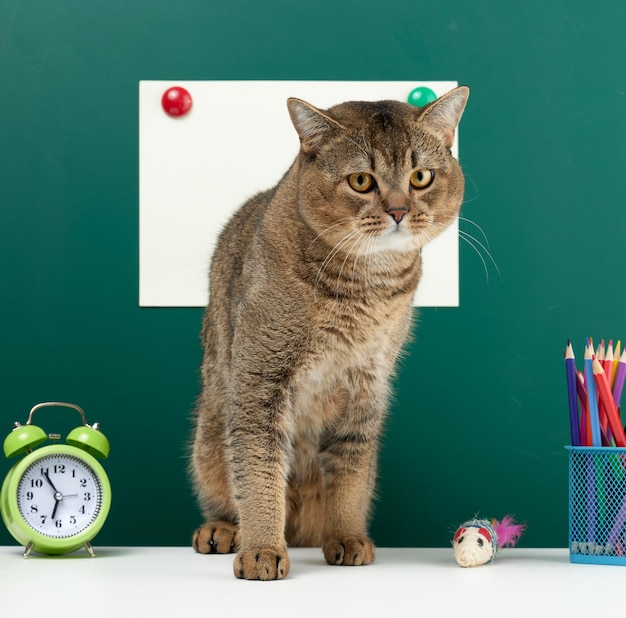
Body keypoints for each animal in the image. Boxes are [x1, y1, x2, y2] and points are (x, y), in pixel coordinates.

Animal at [190, 85, 468, 576]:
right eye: (361, 181)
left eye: (420, 177)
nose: (399, 211)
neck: (365, 288)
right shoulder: (260, 381)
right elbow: (258, 470)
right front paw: (262, 549)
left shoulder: (365, 386)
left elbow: (350, 473)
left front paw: (346, 536)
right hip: (209, 429)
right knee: (224, 490)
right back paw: (223, 530)